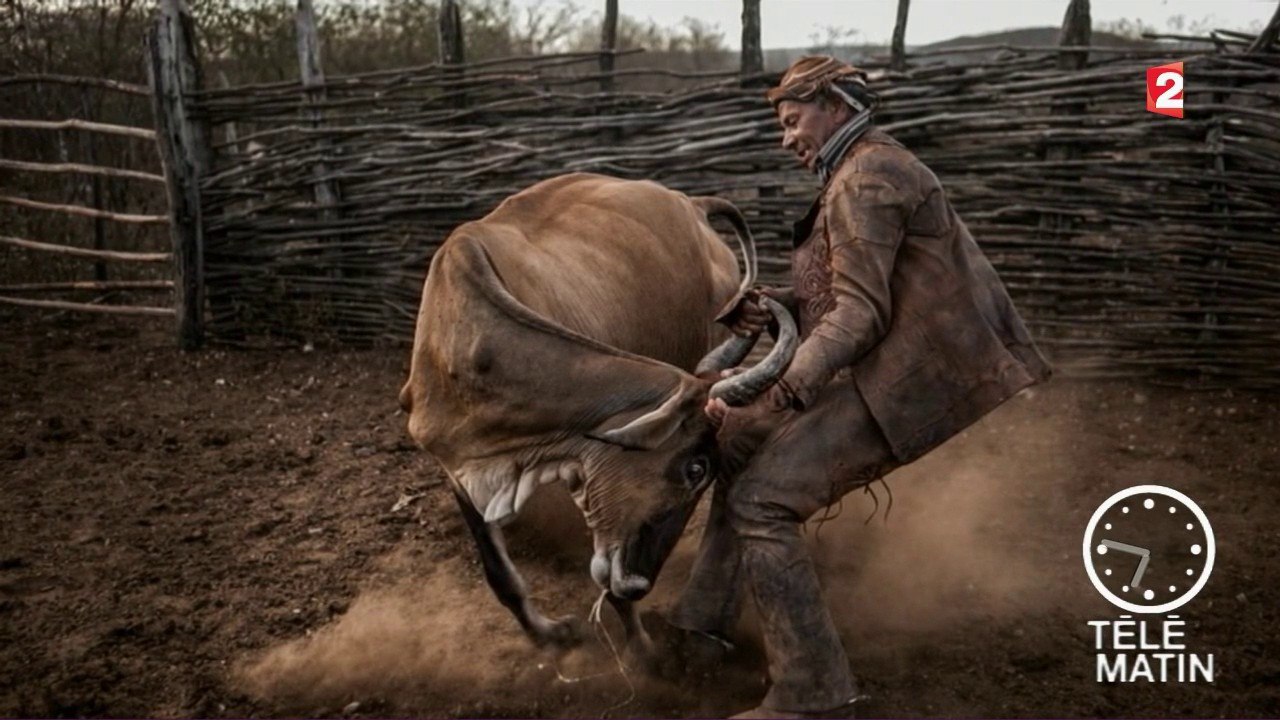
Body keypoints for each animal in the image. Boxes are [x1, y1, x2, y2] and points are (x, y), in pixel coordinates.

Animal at [399, 172, 797, 660]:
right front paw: (548, 635)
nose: (640, 584)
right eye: (695, 467)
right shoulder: (457, 467)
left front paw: (644, 652)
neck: (472, 349)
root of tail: (692, 205)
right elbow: (500, 574)